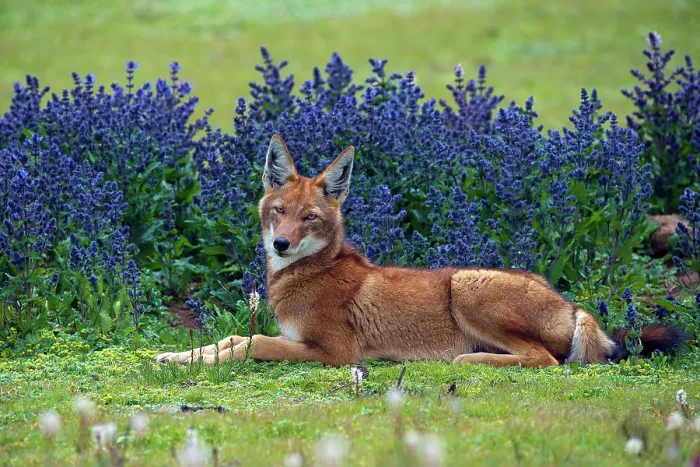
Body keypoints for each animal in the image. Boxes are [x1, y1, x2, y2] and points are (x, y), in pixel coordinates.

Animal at [155, 135, 685, 368]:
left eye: (309, 218)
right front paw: (173, 356)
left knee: (545, 361)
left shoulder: (338, 352)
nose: (282, 243)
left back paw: (470, 361)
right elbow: (227, 339)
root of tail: (571, 305)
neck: (305, 274)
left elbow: (250, 344)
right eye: (279, 211)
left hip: (466, 285)